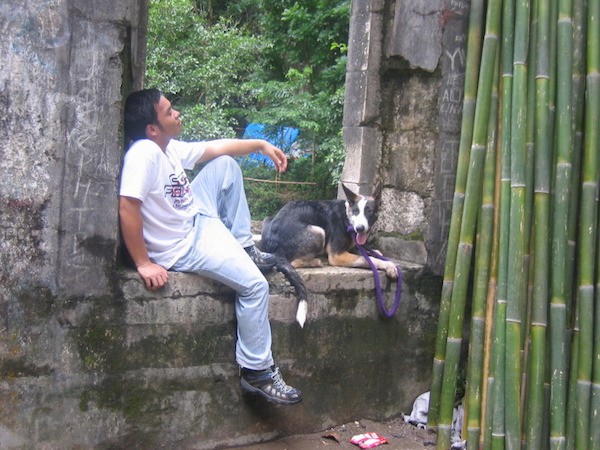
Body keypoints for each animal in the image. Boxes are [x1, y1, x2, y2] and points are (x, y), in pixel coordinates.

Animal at [258, 183, 396, 326]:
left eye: (369, 211)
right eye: (356, 211)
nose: (359, 228)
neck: (347, 217)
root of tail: (274, 245)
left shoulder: (353, 247)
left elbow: (374, 253)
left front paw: (381, 256)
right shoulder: (336, 255)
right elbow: (367, 259)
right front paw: (389, 266)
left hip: (268, 219)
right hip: (319, 231)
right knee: (293, 262)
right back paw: (317, 261)